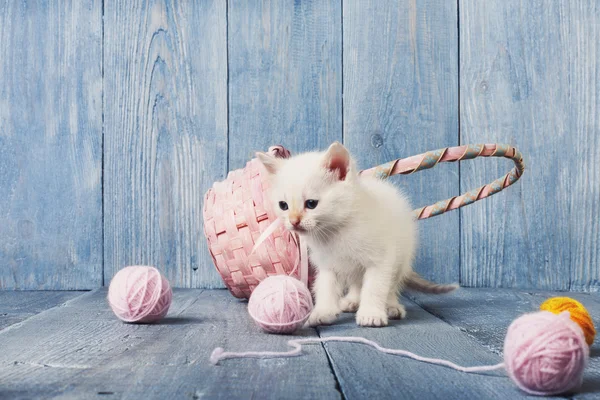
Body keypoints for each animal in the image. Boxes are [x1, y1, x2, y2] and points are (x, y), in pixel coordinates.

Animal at [255, 142, 458, 326]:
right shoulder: (327, 264)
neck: (335, 230)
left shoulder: (381, 260)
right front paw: (323, 312)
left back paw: (391, 306)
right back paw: (352, 300)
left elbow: (375, 287)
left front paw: (371, 314)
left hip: (402, 257)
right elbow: (325, 287)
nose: (294, 221)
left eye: (311, 203)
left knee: (391, 285)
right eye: (283, 205)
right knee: (356, 282)